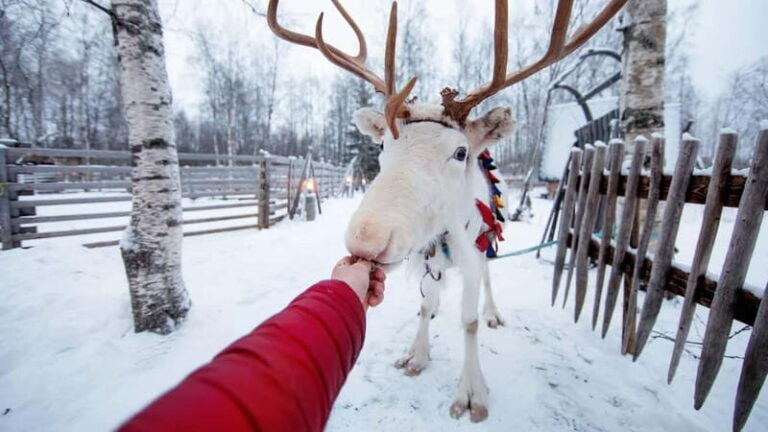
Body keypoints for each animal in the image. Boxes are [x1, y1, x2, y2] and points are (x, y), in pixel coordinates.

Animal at [267, 0, 628, 422]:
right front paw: (417, 355)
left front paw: (471, 392)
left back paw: (493, 312)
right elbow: (424, 306)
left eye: (459, 152)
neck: (444, 236)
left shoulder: (472, 255)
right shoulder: (430, 259)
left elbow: (469, 322)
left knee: (488, 281)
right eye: (383, 147)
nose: (367, 238)